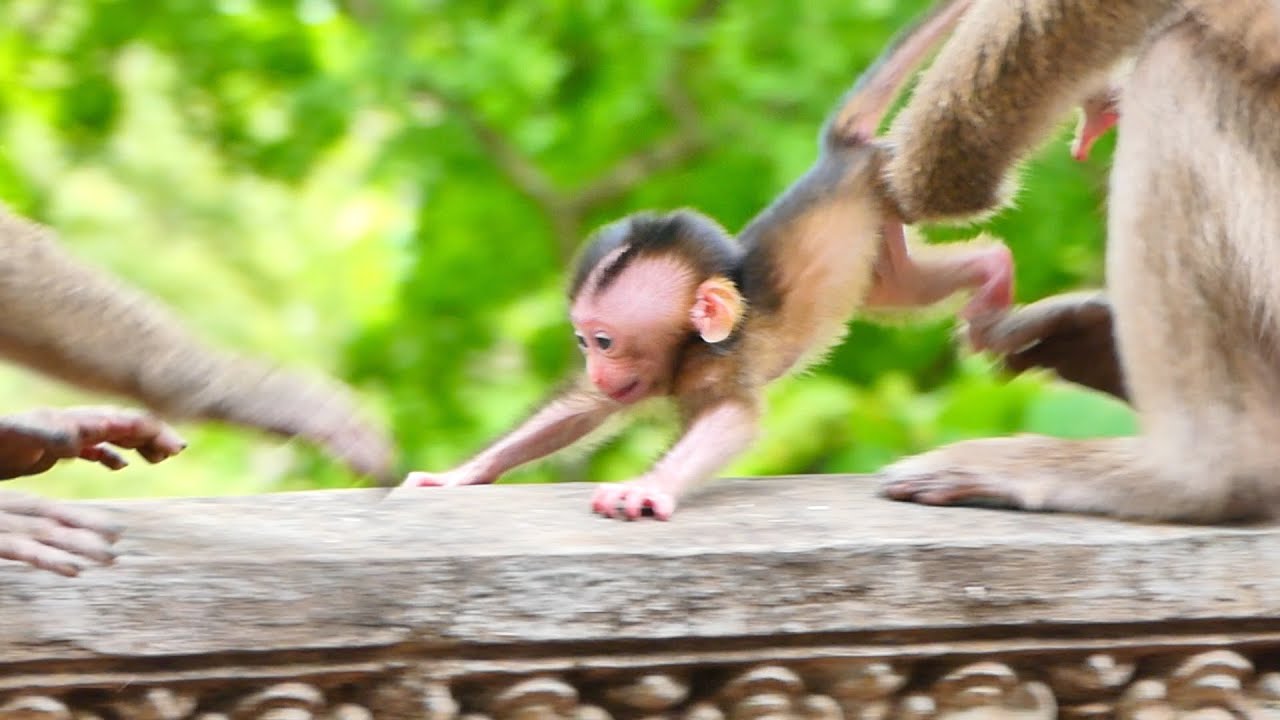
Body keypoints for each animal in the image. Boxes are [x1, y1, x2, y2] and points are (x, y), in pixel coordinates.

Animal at [397, 0, 1022, 520]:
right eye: (582, 343)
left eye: (604, 342)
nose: (596, 366)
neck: (690, 349)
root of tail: (837, 155)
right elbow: (580, 409)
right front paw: (460, 474)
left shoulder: (720, 363)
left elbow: (731, 419)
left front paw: (647, 487)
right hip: (879, 227)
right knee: (901, 288)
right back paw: (993, 268)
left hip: (878, 192)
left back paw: (994, 274)